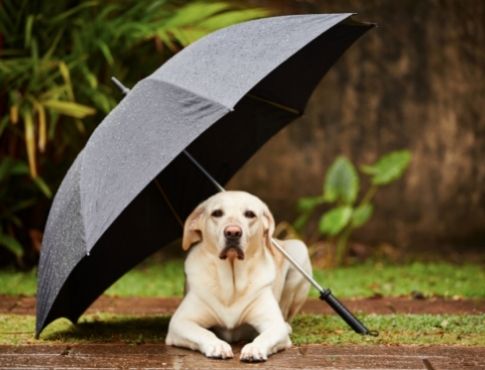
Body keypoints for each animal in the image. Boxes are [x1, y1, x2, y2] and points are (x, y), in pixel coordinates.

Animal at [165, 191, 310, 362]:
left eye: (250, 214)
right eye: (217, 213)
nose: (233, 232)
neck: (231, 282)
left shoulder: (274, 324)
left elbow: (265, 336)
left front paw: (254, 348)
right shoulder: (180, 322)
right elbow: (204, 332)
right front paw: (218, 345)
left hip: (300, 251)